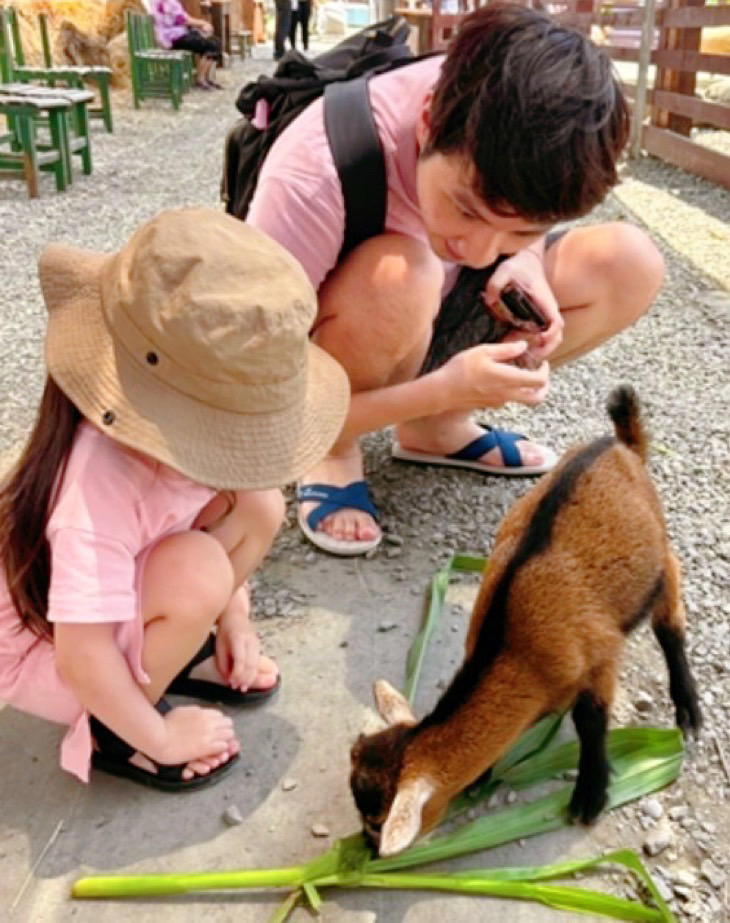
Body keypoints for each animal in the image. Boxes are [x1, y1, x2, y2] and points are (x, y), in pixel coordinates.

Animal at [350, 386, 704, 856]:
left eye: (378, 823)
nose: (368, 851)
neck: (514, 646)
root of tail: (622, 445)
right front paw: (482, 775)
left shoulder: (599, 655)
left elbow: (591, 722)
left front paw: (590, 798)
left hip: (660, 562)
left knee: (670, 623)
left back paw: (688, 710)